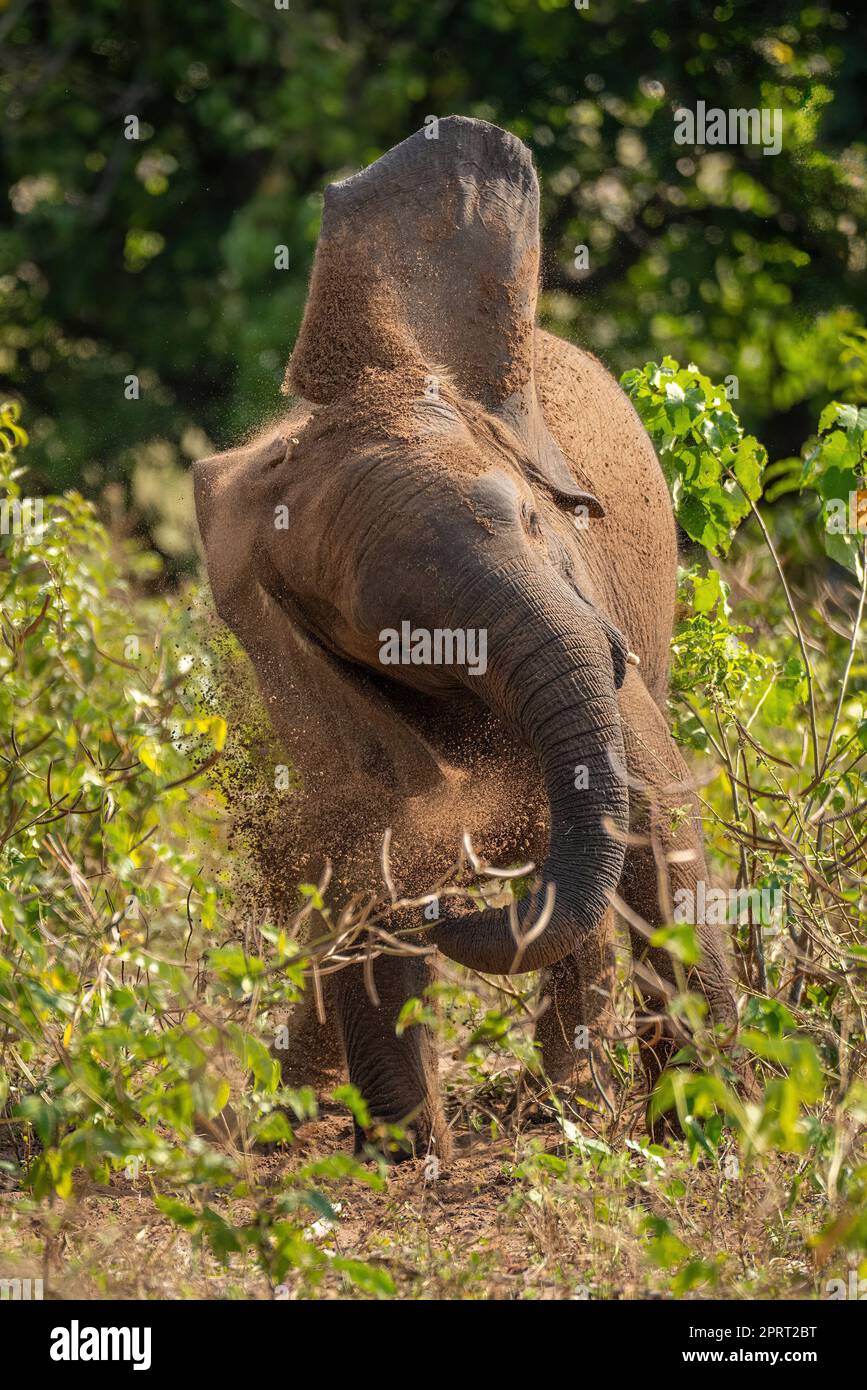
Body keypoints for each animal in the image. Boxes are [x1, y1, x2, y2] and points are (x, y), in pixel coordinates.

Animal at [194, 116, 738, 1164]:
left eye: (529, 520)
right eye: (405, 638)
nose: (458, 907)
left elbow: (653, 811)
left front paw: (708, 1133)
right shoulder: (294, 667)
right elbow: (368, 831)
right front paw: (407, 1156)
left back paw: (562, 1106)